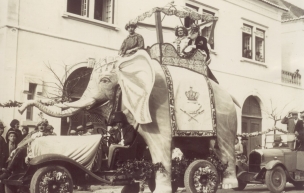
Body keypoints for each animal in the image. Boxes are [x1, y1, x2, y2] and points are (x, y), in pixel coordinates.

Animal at [19, 50, 239, 193]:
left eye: (105, 81)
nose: (21, 108)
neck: (127, 64)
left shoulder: (157, 104)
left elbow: (160, 147)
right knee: (194, 149)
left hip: (226, 117)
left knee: (224, 147)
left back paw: (221, 183)